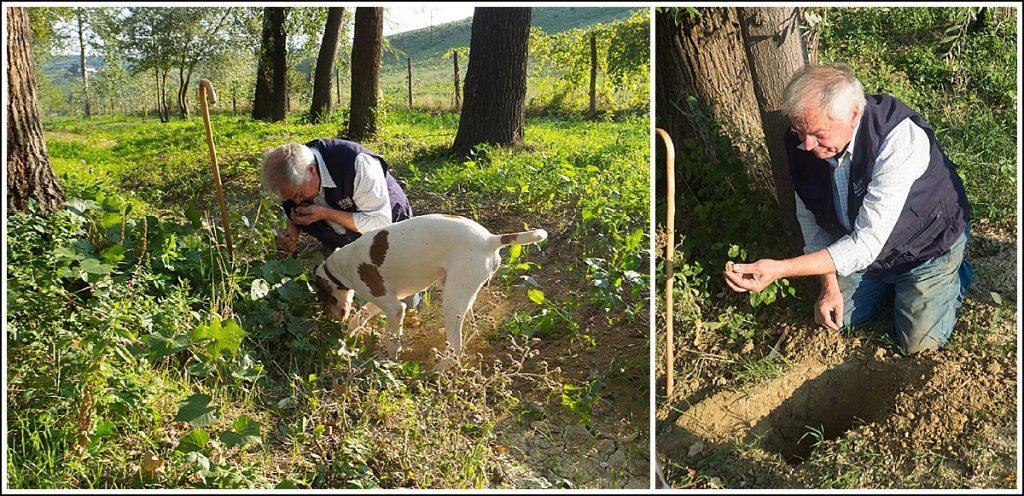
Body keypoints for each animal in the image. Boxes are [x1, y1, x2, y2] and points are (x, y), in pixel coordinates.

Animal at [315, 213, 548, 373]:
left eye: (323, 297)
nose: (329, 318)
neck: (343, 265)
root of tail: (490, 239)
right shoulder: (387, 299)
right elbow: (360, 316)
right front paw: (350, 334)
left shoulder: (395, 308)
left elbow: (391, 340)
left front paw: (390, 363)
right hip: (460, 293)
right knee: (470, 325)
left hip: (451, 300)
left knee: (457, 345)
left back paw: (440, 369)